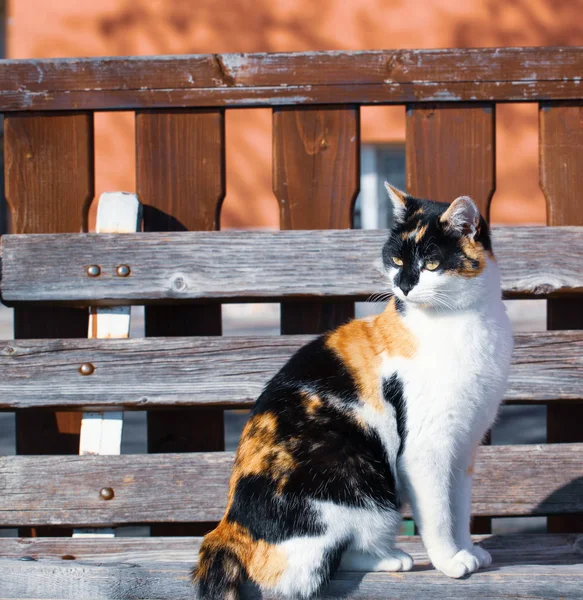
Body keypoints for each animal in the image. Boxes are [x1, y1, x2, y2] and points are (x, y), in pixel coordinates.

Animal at [194, 184, 512, 600]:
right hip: (362, 488)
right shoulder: (425, 449)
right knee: (325, 563)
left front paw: (469, 550)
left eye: (431, 264)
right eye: (396, 259)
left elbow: (458, 508)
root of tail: (228, 526)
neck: (461, 322)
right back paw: (393, 558)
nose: (404, 285)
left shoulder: (464, 447)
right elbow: (438, 515)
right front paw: (449, 562)